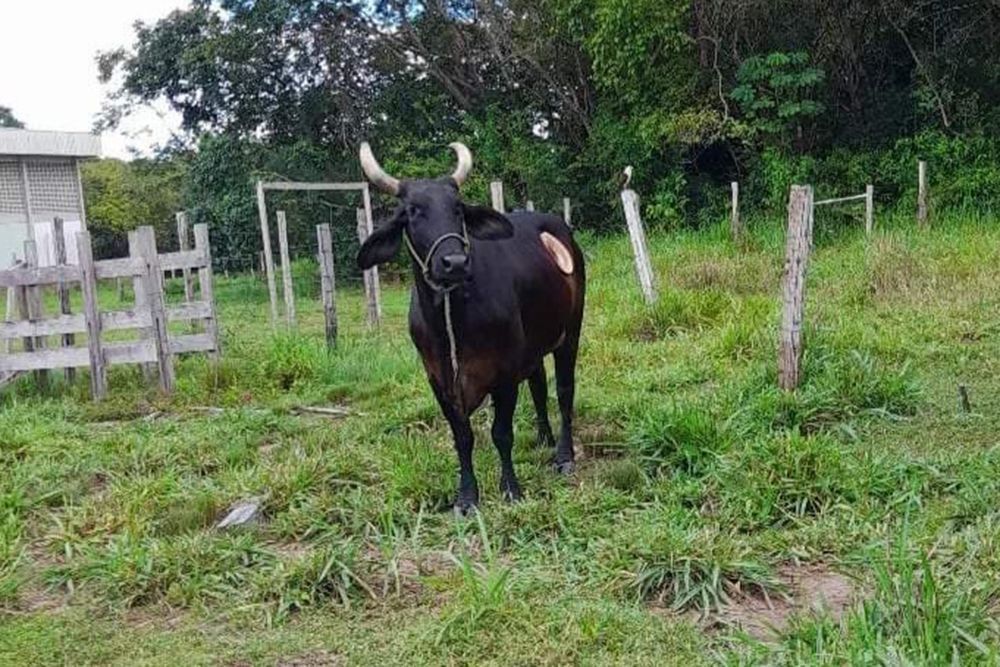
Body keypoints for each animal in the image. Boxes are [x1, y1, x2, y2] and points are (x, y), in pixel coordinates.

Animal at [356, 142, 586, 514]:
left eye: (458, 210)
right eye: (412, 212)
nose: (455, 263)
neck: (452, 317)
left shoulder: (504, 372)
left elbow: (501, 433)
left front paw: (511, 488)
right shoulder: (438, 379)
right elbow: (462, 437)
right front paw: (466, 497)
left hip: (570, 332)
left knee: (564, 390)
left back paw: (563, 454)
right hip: (533, 346)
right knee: (538, 384)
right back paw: (543, 438)